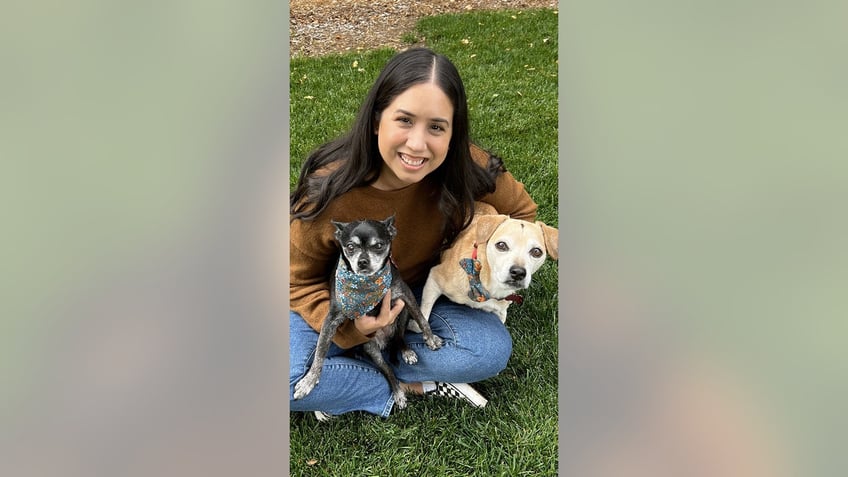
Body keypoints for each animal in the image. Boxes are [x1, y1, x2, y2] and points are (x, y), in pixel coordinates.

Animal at [294, 218, 444, 408]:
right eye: (350, 246)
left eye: (379, 245)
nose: (362, 261)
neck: (367, 285)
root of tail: (384, 341)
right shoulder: (331, 319)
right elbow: (320, 351)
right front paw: (309, 381)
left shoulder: (406, 295)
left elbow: (421, 319)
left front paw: (431, 339)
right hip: (371, 348)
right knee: (387, 370)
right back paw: (398, 393)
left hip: (402, 313)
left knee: (399, 337)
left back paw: (407, 352)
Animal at [414, 199, 560, 326]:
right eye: (501, 245)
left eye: (536, 252)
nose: (518, 272)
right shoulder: (434, 277)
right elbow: (423, 315)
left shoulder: (500, 312)